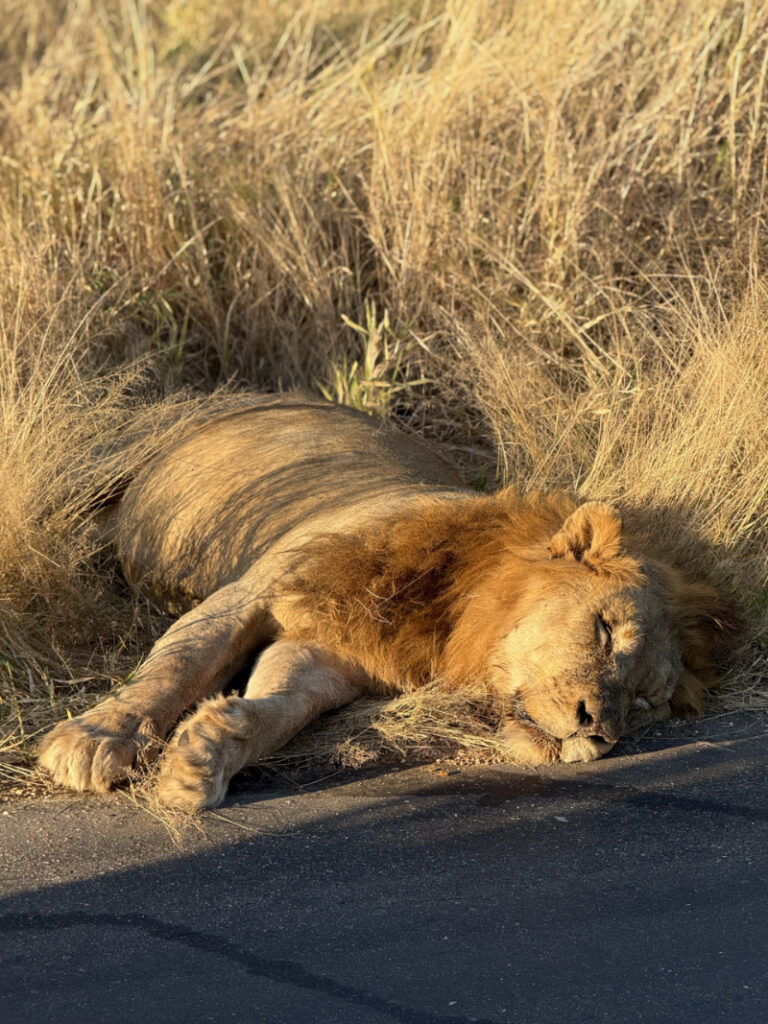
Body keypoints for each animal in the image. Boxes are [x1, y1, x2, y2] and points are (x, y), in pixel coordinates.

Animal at [38, 394, 735, 810]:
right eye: (605, 630)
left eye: (643, 703)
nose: (599, 730)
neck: (453, 613)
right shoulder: (255, 592)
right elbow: (172, 671)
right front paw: (94, 739)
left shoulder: (328, 658)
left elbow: (278, 710)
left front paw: (204, 755)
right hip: (109, 461)